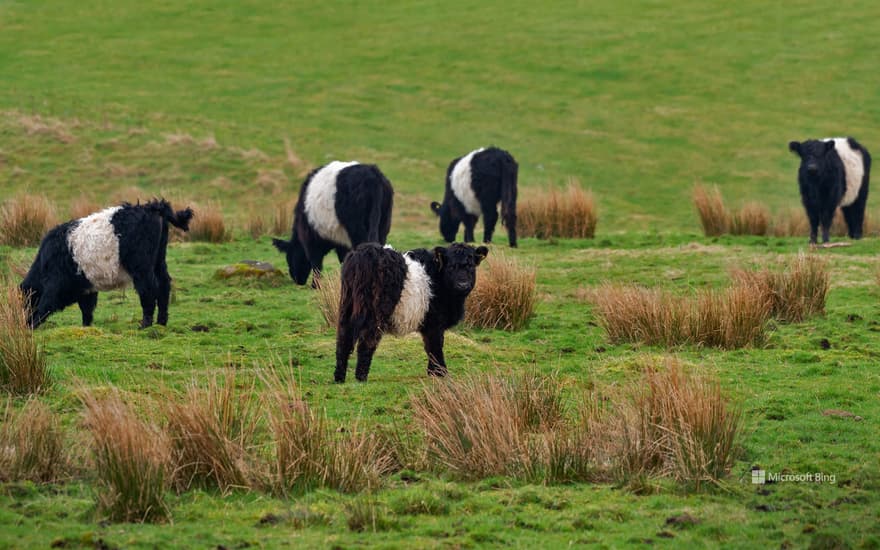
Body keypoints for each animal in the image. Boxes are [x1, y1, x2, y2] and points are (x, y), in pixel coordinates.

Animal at [19, 203, 193, 332]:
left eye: (27, 300)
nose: (23, 319)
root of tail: (152, 207)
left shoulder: (55, 285)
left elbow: (46, 305)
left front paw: (31, 324)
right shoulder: (86, 288)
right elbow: (86, 310)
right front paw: (86, 328)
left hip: (141, 267)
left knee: (149, 290)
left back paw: (145, 325)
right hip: (158, 261)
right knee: (164, 285)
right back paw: (161, 322)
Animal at [336, 244, 488, 386]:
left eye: (471, 266)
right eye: (451, 266)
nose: (462, 284)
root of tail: (365, 252)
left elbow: (430, 347)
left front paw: (432, 372)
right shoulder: (435, 323)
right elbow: (436, 346)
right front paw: (441, 373)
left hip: (347, 308)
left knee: (343, 340)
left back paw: (339, 378)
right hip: (375, 313)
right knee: (366, 341)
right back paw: (361, 378)